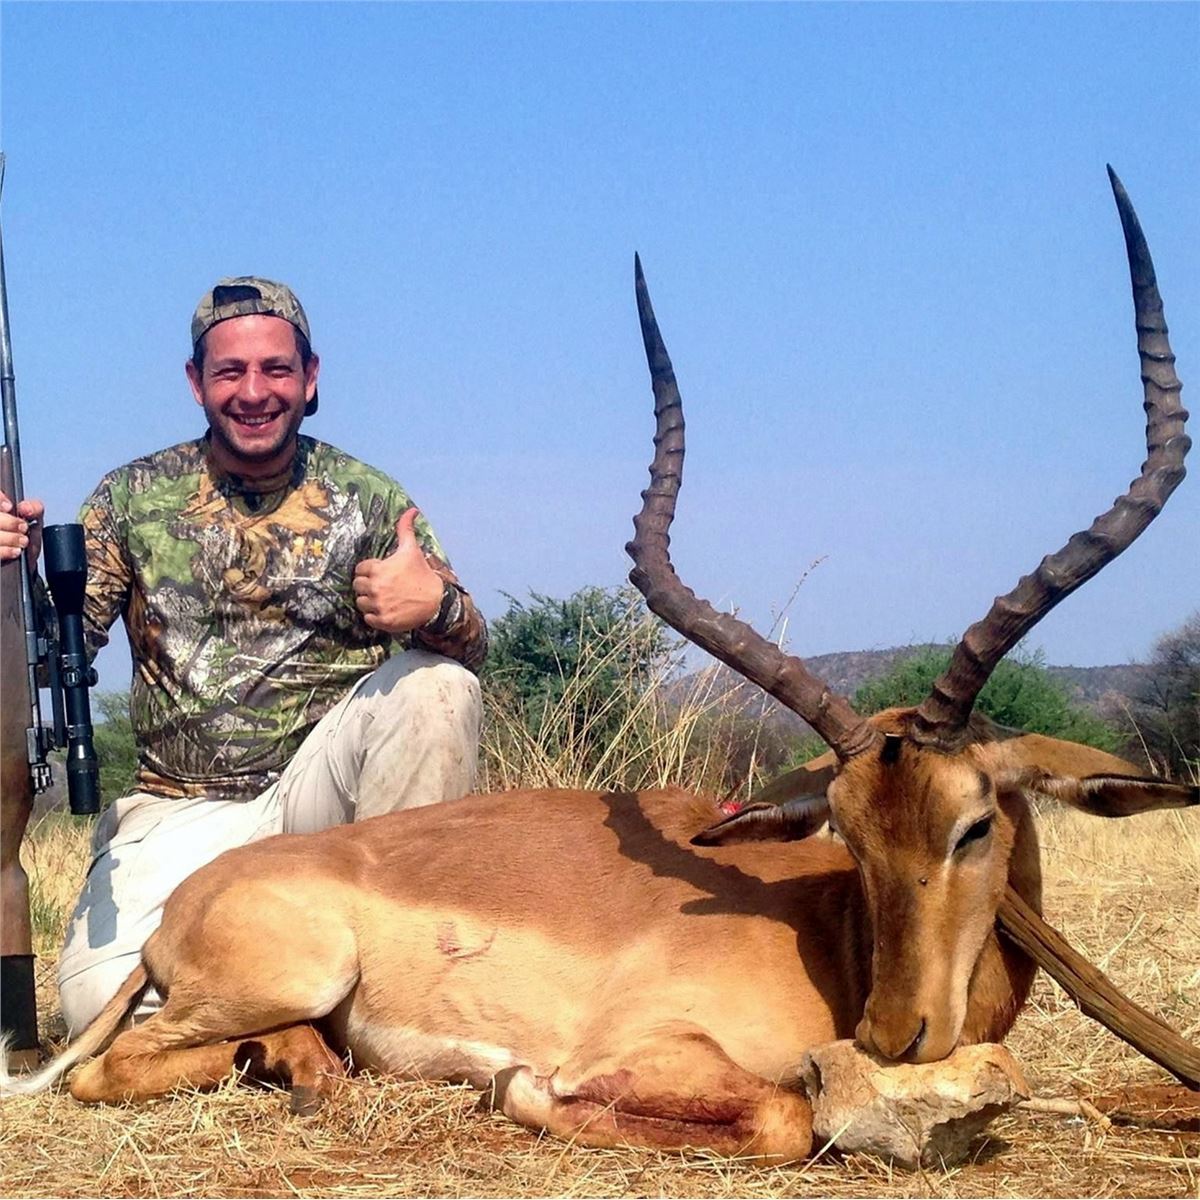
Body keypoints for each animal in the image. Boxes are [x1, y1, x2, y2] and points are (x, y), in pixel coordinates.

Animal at [1, 167, 1195, 1162]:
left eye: (973, 823)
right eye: (848, 833)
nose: (896, 1033)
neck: (831, 937)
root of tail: (182, 907)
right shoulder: (659, 1047)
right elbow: (782, 1115)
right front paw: (519, 1088)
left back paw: (301, 1067)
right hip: (289, 971)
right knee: (109, 1067)